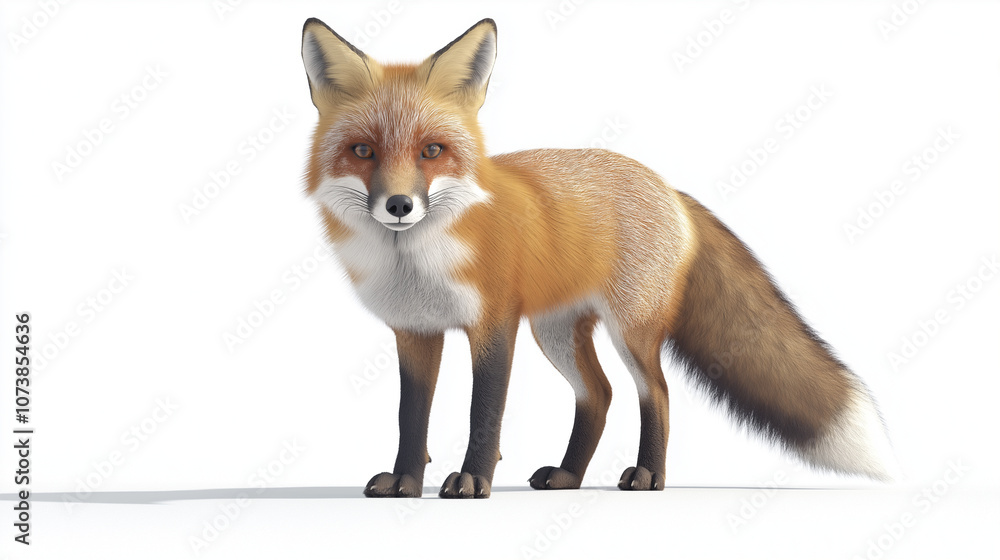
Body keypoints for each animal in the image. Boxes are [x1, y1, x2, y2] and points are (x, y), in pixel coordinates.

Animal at [299, 17, 897, 499]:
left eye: (431, 151)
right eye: (363, 151)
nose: (400, 206)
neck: (417, 263)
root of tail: (669, 188)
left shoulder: (494, 325)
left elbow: (483, 412)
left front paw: (472, 481)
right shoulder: (415, 331)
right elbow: (411, 417)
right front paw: (405, 481)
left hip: (629, 329)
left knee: (655, 392)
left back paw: (649, 475)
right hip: (556, 332)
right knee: (599, 394)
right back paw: (568, 476)